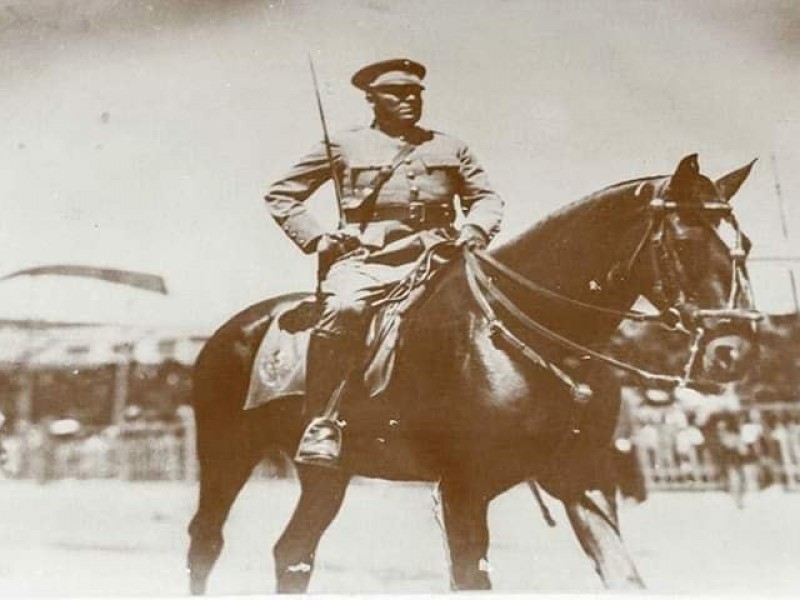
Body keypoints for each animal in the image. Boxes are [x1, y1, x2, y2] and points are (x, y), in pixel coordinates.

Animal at [184, 152, 760, 592]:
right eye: (686, 241)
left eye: (747, 245)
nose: (736, 348)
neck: (533, 333)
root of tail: (234, 328)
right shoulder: (463, 490)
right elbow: (470, 577)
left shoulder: (585, 481)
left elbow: (624, 575)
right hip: (226, 456)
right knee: (206, 543)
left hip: (327, 477)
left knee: (293, 553)